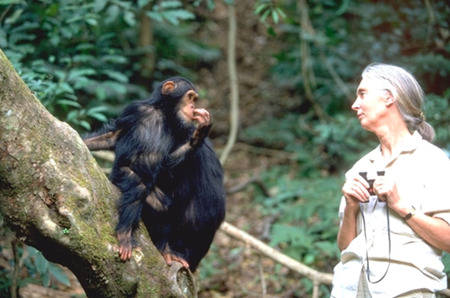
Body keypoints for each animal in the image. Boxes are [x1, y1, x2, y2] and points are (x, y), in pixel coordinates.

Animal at [82, 77, 225, 272]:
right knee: (138, 186)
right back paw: (124, 233)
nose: (193, 107)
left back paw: (164, 249)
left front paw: (200, 132)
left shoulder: (179, 132)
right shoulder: (135, 110)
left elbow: (168, 164)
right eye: (190, 97)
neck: (163, 114)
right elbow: (114, 134)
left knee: (162, 206)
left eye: (194, 100)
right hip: (121, 174)